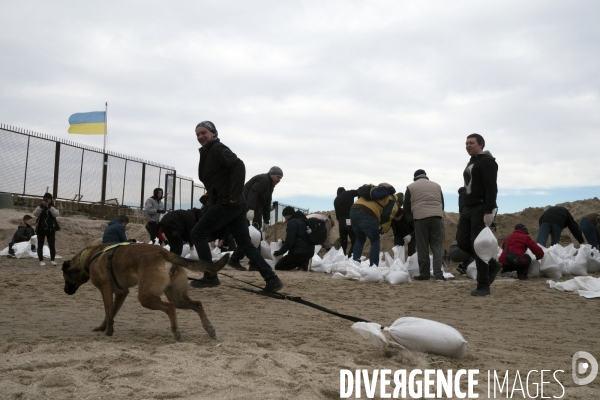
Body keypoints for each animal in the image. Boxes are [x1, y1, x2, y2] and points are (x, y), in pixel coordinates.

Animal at [61, 244, 230, 340]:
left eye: (65, 276)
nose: (65, 291)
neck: (89, 256)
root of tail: (164, 253)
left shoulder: (105, 289)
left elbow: (108, 312)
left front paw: (108, 331)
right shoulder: (121, 293)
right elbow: (112, 313)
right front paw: (103, 328)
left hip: (146, 297)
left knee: (170, 307)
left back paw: (176, 331)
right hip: (177, 297)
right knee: (197, 304)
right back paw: (209, 328)